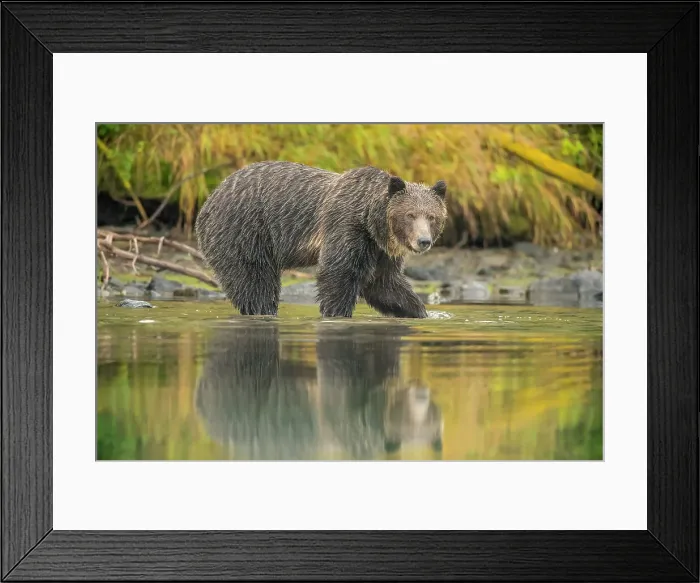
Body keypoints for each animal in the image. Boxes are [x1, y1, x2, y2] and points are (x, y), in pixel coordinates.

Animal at [195, 161, 447, 318]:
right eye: (410, 215)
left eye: (432, 216)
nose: (423, 241)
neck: (373, 223)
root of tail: (207, 202)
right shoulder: (346, 227)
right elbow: (338, 272)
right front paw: (337, 312)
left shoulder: (379, 250)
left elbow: (384, 283)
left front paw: (420, 311)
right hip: (244, 231)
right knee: (253, 280)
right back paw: (263, 309)